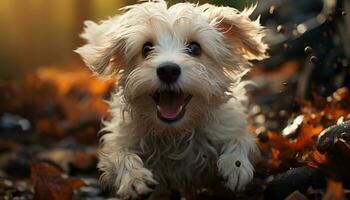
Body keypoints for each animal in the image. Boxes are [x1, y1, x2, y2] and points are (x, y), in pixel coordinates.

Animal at [76, 0, 268, 199]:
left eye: (195, 48)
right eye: (146, 48)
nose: (168, 70)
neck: (174, 133)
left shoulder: (227, 126)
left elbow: (242, 138)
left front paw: (235, 164)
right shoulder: (121, 140)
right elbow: (118, 155)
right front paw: (134, 177)